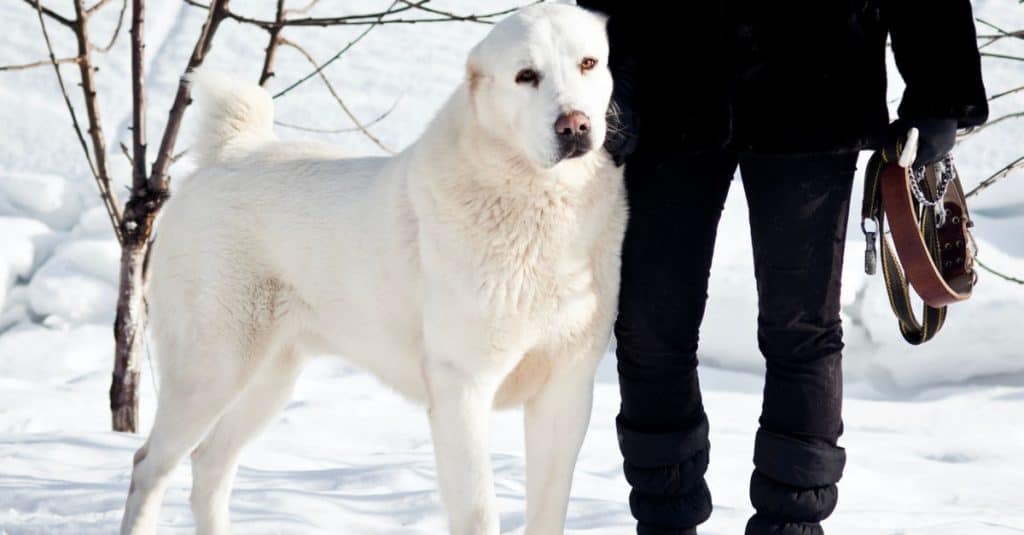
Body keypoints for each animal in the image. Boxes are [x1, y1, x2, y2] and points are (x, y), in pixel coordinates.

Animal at [123, 5, 626, 532]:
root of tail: (231, 152)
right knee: (150, 467)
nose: (574, 126)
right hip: (211, 369)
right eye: (526, 76)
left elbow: (549, 510)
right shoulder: (461, 388)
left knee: (209, 467)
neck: (540, 203)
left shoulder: (566, 392)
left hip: (270, 378)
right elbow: (478, 512)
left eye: (588, 63)